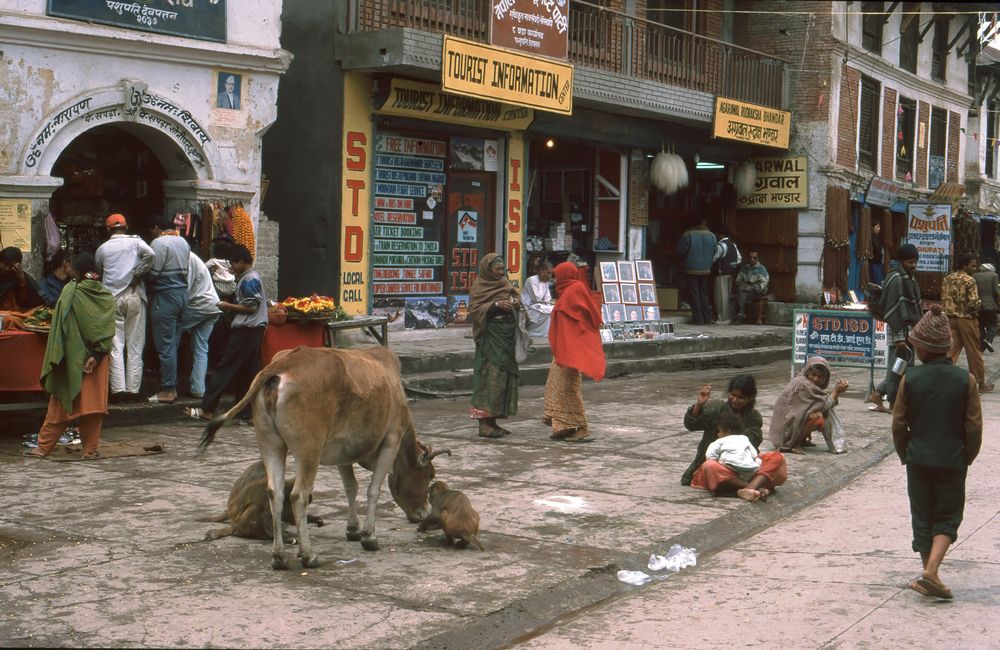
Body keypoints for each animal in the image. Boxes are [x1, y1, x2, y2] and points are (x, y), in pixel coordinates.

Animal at [197, 344, 448, 568]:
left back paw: (279, 556)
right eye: (429, 475)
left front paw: (353, 530)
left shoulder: (343, 452)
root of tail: (283, 364)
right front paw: (369, 537)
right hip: (310, 450)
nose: (423, 513)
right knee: (298, 495)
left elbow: (351, 487)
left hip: (271, 445)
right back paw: (308, 555)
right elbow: (372, 490)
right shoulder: (391, 441)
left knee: (275, 493)